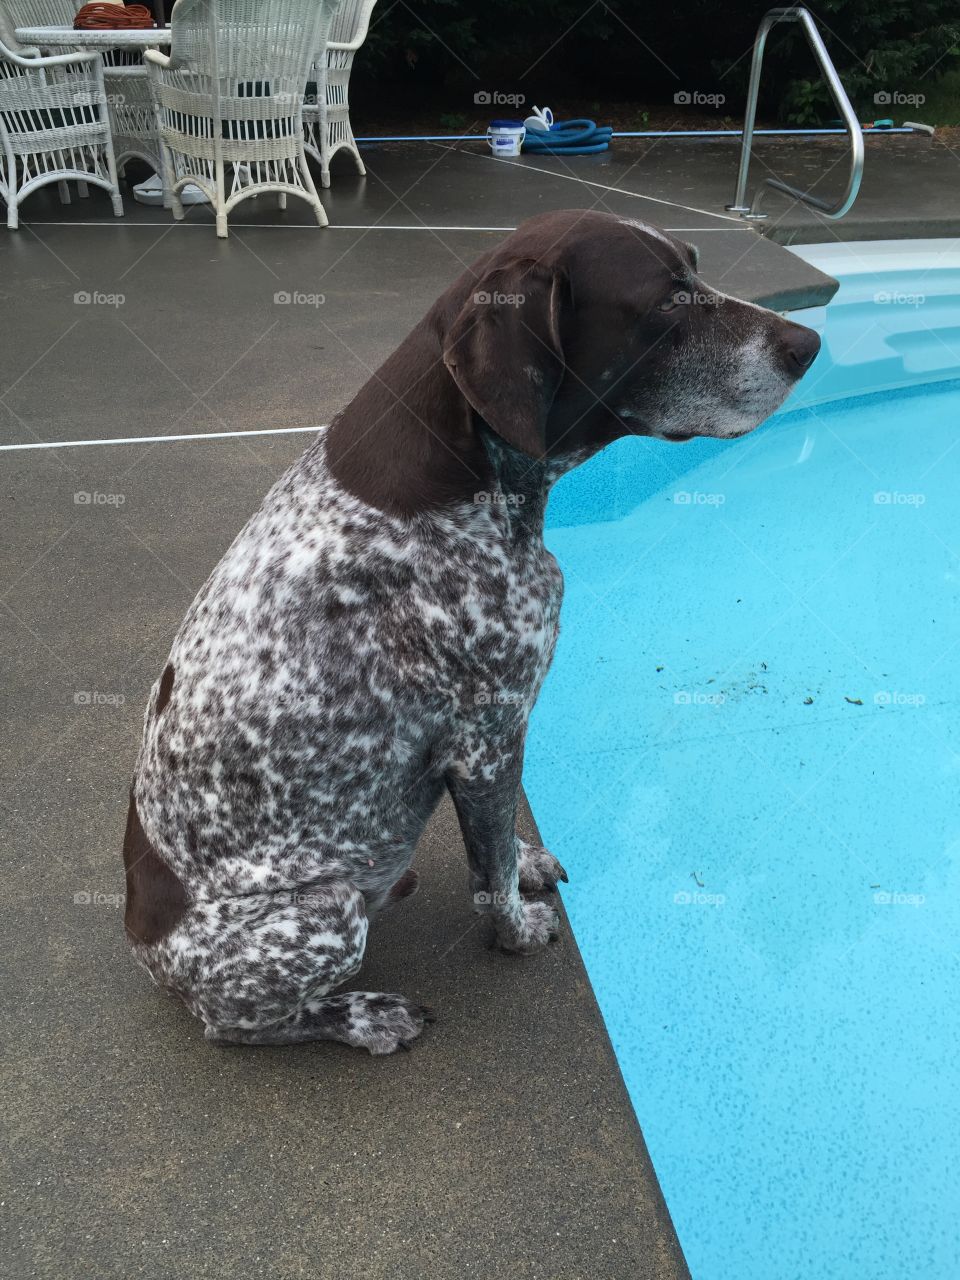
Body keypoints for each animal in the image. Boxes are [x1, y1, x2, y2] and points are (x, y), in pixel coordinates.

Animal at [124, 207, 824, 1049]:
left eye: (695, 264)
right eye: (664, 300)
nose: (809, 344)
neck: (465, 482)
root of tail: (144, 947)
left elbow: (499, 845)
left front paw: (525, 862)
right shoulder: (488, 735)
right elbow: (489, 873)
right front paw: (516, 931)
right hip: (324, 912)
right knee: (236, 1024)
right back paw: (362, 1016)